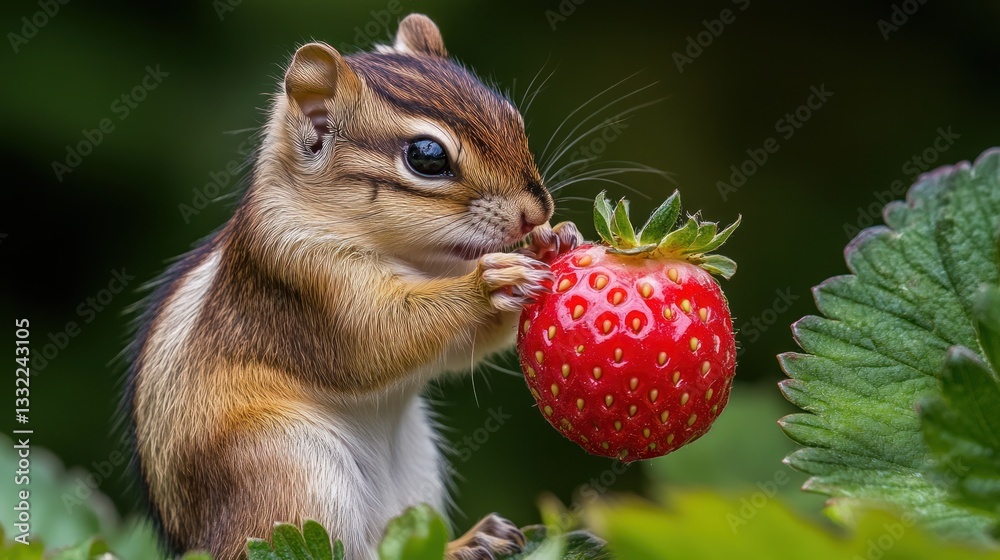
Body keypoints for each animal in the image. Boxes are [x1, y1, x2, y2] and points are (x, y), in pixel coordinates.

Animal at [125, 13, 582, 560]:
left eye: (512, 116)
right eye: (427, 157)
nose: (538, 213)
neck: (410, 258)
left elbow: (457, 349)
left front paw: (553, 241)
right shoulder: (303, 277)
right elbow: (377, 337)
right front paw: (492, 282)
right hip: (291, 468)